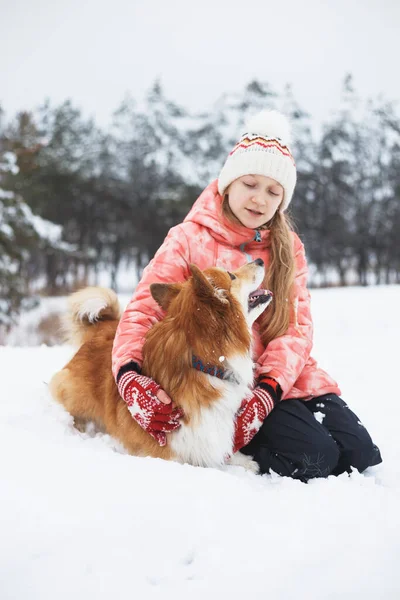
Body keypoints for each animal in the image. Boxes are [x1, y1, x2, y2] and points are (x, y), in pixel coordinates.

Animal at [49, 260, 272, 472]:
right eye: (231, 275)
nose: (260, 261)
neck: (202, 363)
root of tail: (105, 326)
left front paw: (242, 460)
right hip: (76, 396)